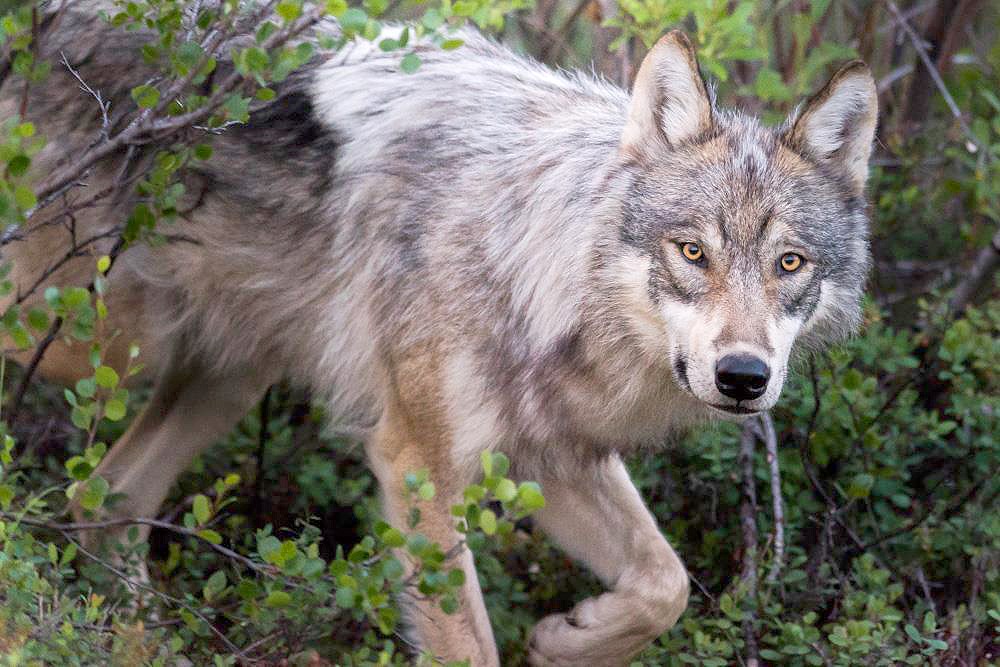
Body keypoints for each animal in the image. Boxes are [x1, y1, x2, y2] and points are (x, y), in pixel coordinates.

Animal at [0, 3, 876, 664]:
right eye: (693, 251)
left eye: (790, 263)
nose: (742, 376)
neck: (529, 258)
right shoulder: (418, 461)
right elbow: (471, 645)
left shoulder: (552, 455)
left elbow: (668, 583)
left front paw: (567, 640)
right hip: (99, 342)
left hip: (226, 375)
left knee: (104, 494)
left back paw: (140, 639)